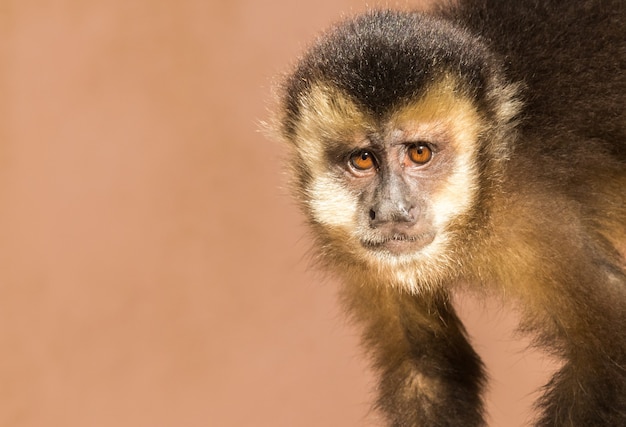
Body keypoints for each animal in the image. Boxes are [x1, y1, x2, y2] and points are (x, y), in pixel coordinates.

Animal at [270, 1, 624, 426]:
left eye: (419, 153)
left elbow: (608, 350)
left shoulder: (536, 220)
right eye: (363, 160)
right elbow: (425, 368)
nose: (390, 211)